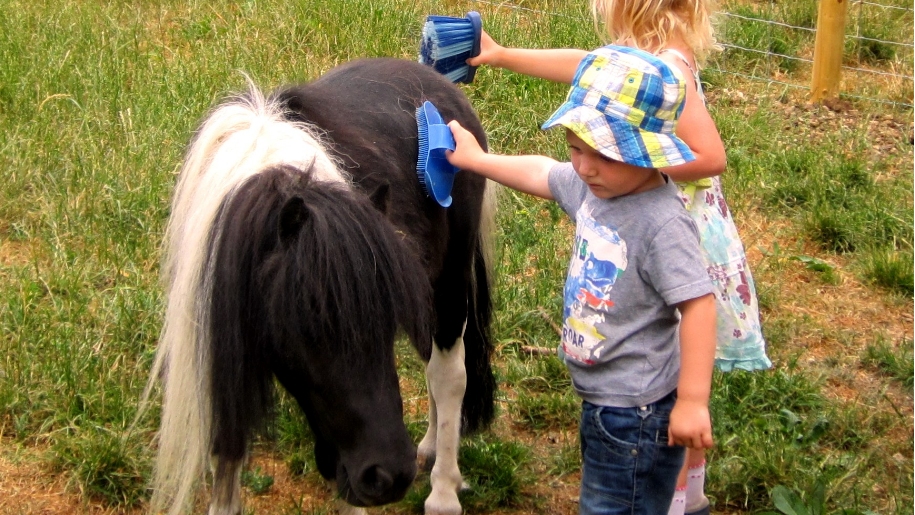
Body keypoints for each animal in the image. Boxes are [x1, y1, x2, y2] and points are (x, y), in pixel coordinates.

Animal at [143, 56, 498, 515]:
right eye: (308, 328)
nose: (390, 475)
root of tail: (440, 85)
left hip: (450, 285)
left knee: (448, 375)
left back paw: (442, 491)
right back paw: (430, 448)